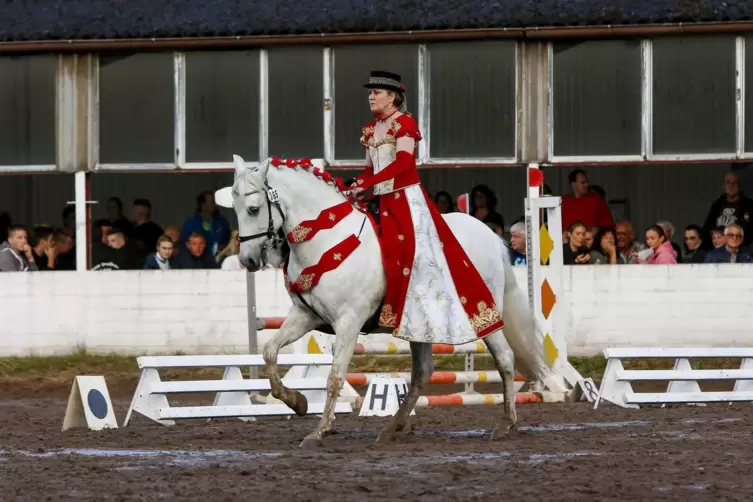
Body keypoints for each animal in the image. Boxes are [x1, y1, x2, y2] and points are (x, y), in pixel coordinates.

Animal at [217, 155, 552, 450]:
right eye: (235, 207)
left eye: (254, 208)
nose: (247, 260)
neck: (328, 240)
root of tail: (489, 236)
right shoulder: (305, 316)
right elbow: (269, 351)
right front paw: (297, 402)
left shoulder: (349, 322)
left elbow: (335, 376)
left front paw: (318, 431)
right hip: (420, 328)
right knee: (423, 372)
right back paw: (392, 428)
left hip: (484, 314)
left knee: (505, 359)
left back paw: (506, 423)